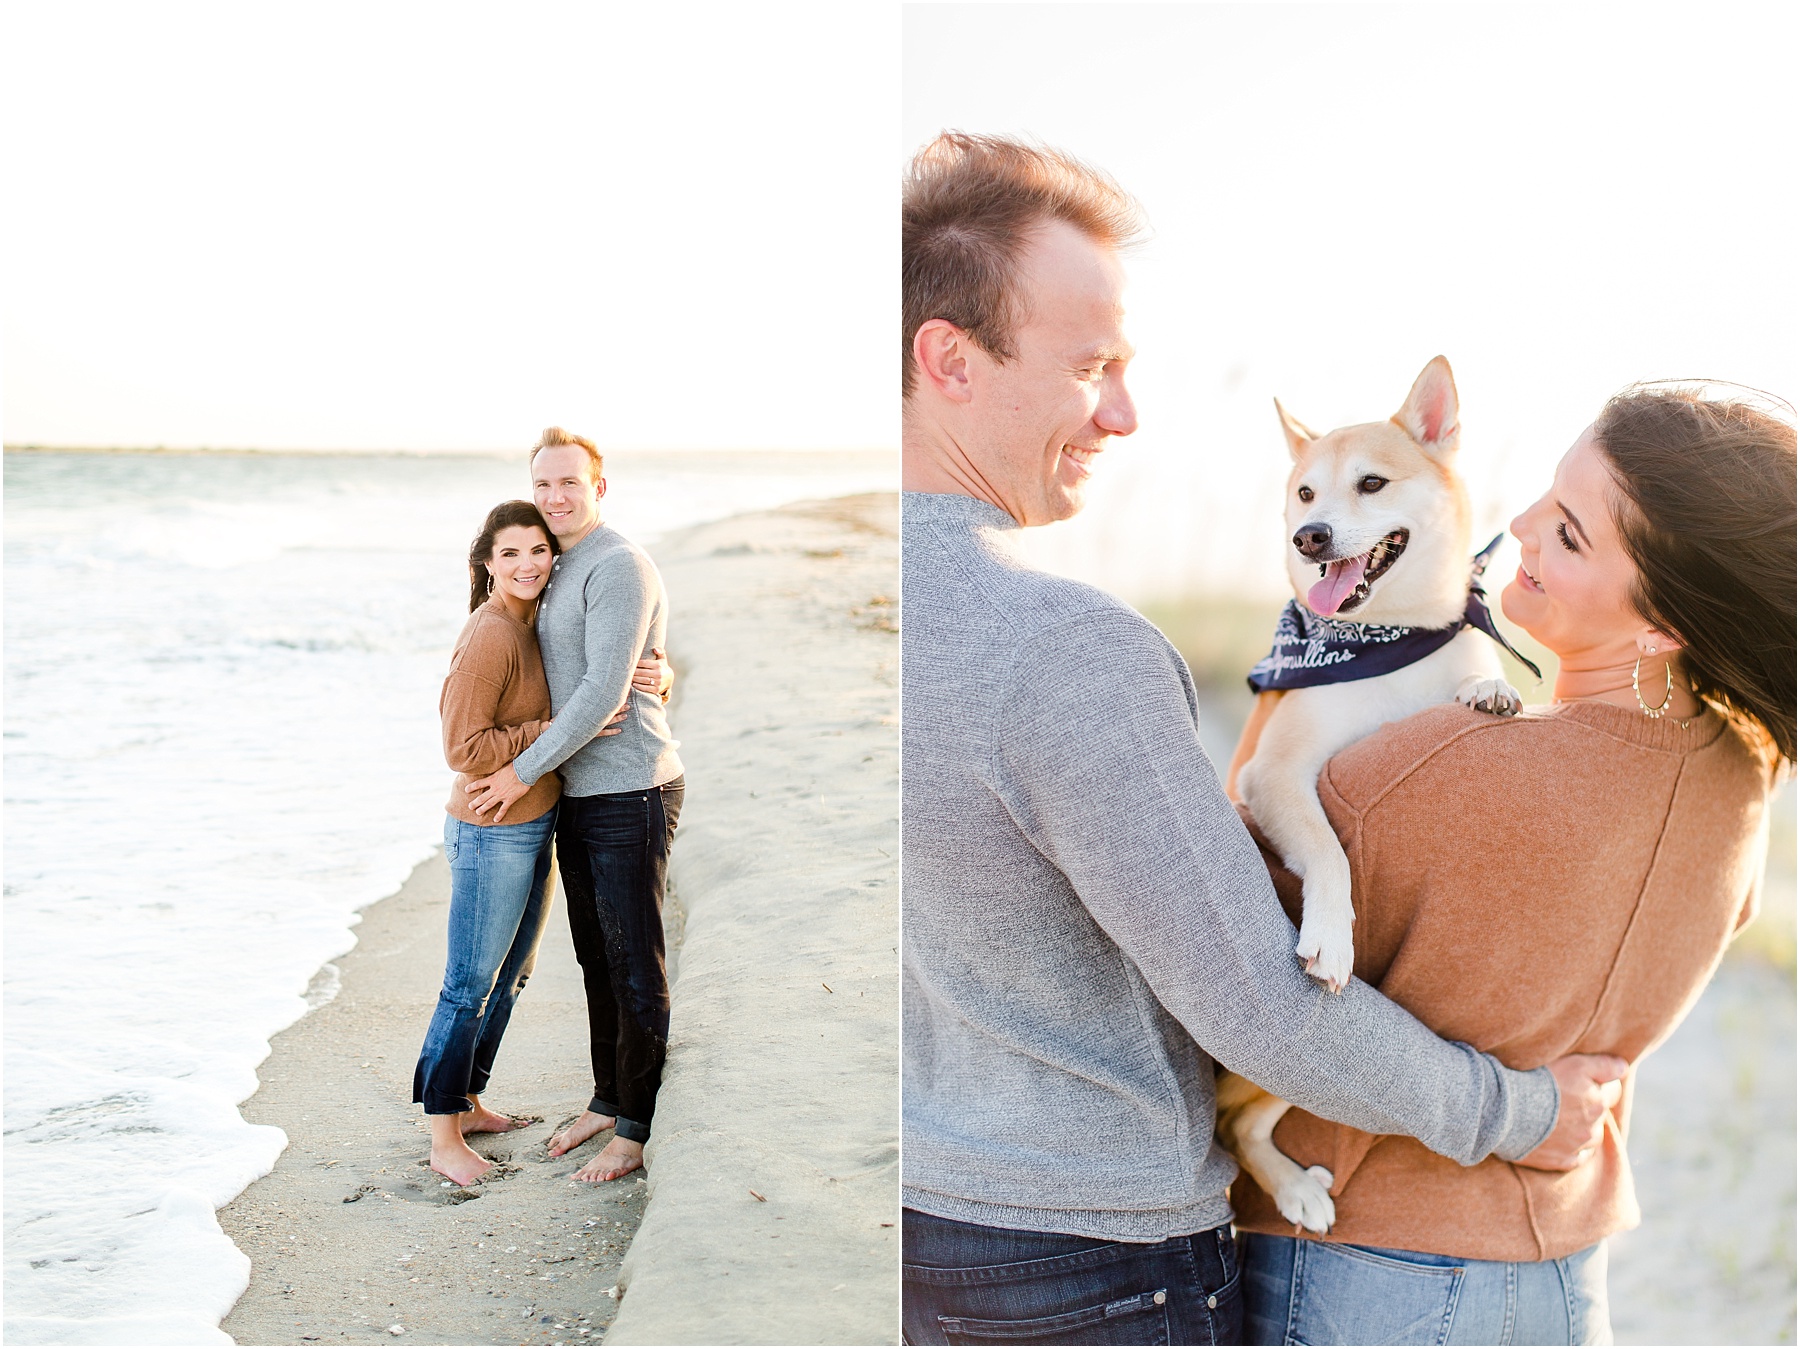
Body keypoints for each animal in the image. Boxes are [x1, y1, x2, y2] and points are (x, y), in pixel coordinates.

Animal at [1224, 354, 1519, 1231]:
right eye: (1305, 493)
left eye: (1372, 483)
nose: (1310, 537)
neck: (1393, 638)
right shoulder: (1272, 774)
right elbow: (1328, 850)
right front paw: (1332, 935)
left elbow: (1476, 676)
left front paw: (1491, 691)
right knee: (1236, 1129)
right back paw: (1293, 1187)